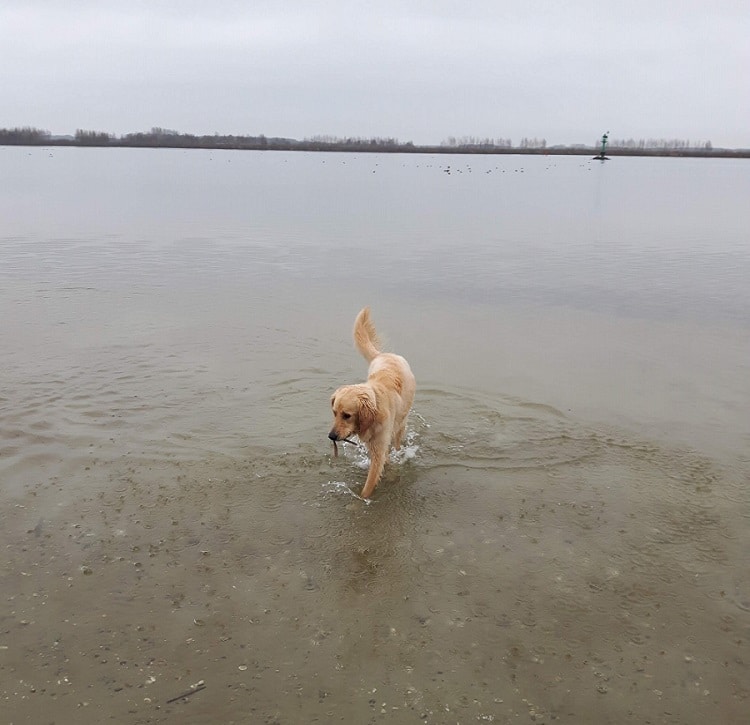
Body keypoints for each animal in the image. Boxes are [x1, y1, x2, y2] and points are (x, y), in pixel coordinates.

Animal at [330, 306, 418, 498]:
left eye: (347, 415)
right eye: (334, 413)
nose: (331, 436)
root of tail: (383, 355)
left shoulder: (379, 448)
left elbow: (369, 483)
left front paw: (361, 500)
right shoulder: (373, 445)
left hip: (401, 422)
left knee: (397, 439)